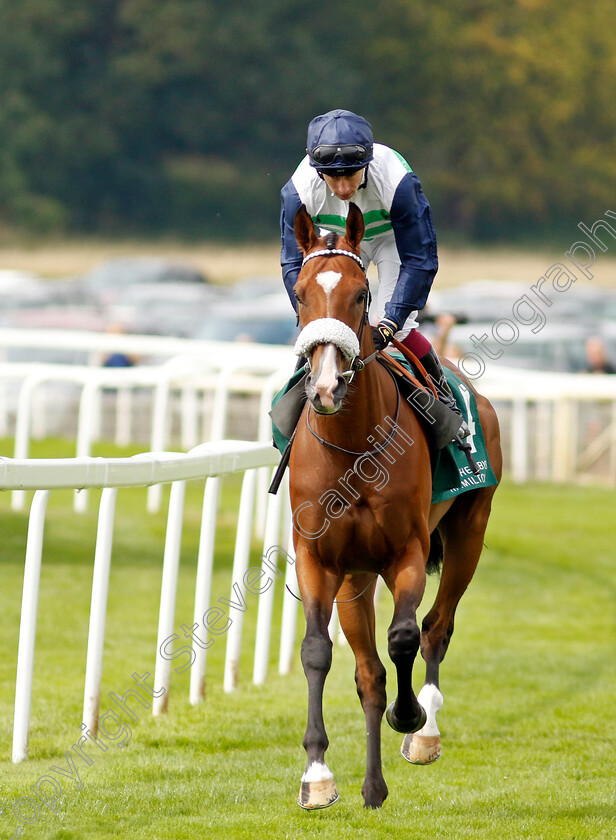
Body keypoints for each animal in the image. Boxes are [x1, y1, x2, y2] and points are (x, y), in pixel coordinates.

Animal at [286, 200, 502, 812]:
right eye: (300, 293)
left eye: (361, 294)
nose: (326, 387)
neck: (354, 449)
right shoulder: (320, 559)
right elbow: (319, 652)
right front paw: (318, 776)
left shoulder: (407, 550)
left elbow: (405, 636)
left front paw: (411, 718)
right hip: (356, 578)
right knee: (369, 673)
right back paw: (373, 786)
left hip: (469, 533)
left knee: (435, 626)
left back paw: (425, 730)